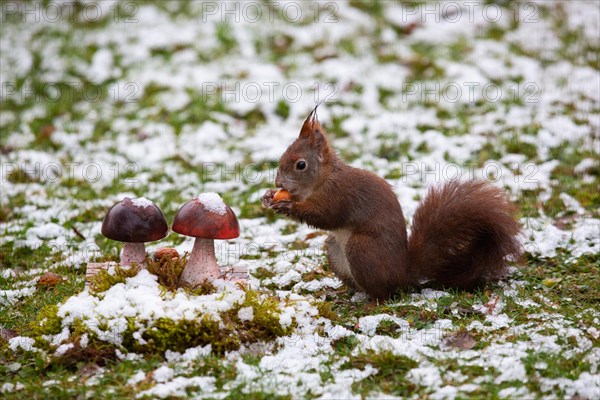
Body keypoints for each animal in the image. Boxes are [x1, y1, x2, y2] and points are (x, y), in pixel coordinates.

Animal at [260, 107, 524, 300]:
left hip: (361, 248)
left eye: (300, 164)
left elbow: (326, 216)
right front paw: (268, 196)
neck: (324, 178)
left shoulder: (339, 195)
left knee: (383, 293)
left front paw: (288, 206)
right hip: (334, 248)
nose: (278, 181)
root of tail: (402, 272)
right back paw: (341, 293)